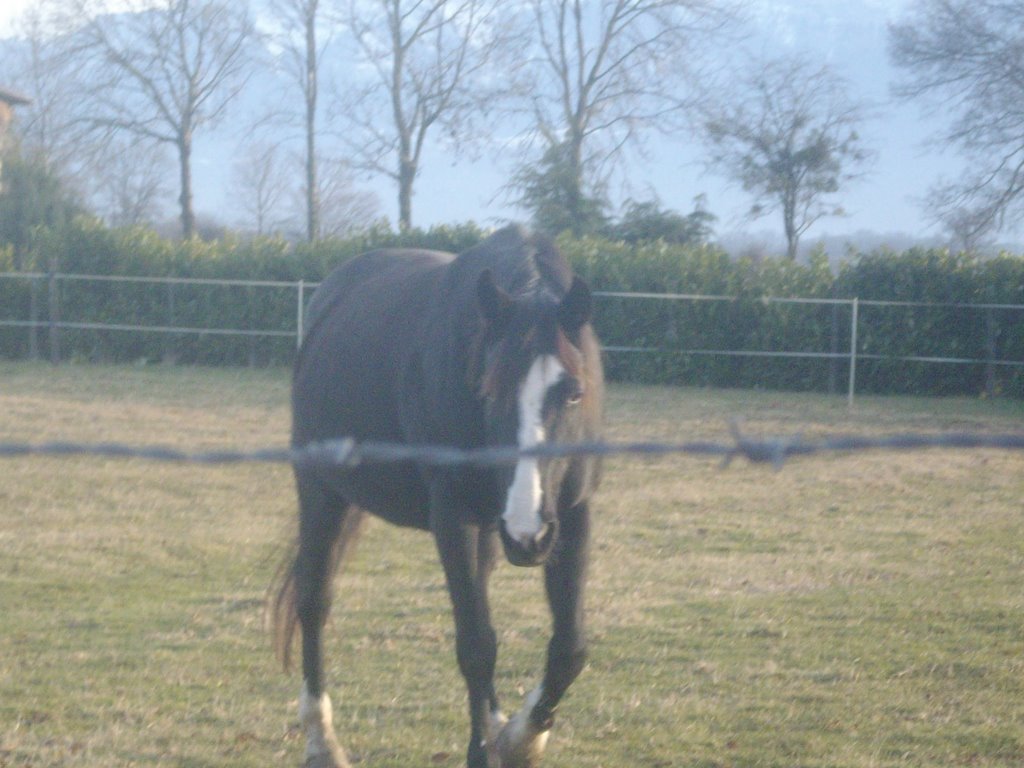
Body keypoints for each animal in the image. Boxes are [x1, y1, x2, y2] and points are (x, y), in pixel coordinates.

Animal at [272, 224, 602, 768]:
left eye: (574, 393)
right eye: (490, 391)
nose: (527, 532)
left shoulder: (572, 514)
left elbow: (570, 647)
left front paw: (520, 739)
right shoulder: (453, 516)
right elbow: (476, 645)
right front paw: (492, 747)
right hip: (322, 493)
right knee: (314, 600)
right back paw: (322, 741)